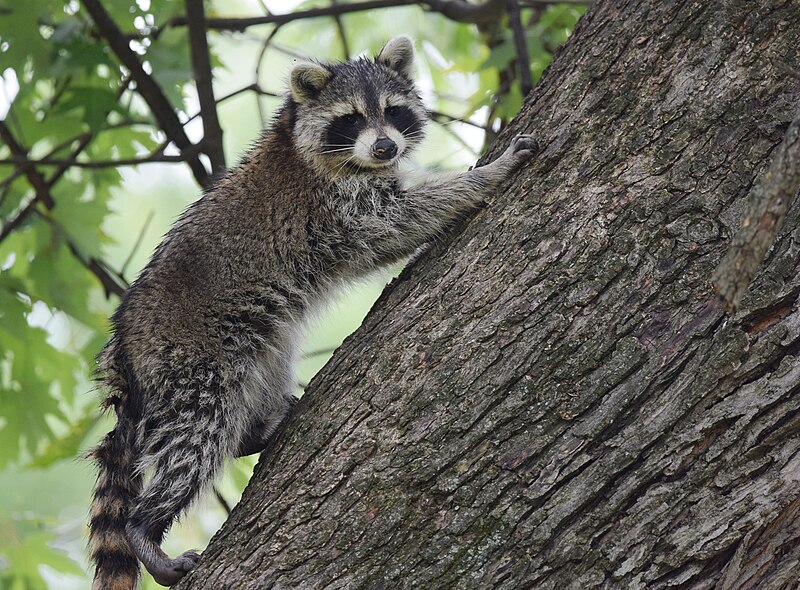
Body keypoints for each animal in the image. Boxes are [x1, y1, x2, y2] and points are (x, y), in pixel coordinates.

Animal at [86, 35, 536, 588]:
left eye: (393, 111)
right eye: (351, 119)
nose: (386, 148)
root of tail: (123, 352)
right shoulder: (333, 210)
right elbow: (395, 222)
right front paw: (486, 176)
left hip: (251, 341)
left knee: (264, 369)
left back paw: (255, 429)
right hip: (189, 361)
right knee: (195, 437)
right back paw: (145, 526)